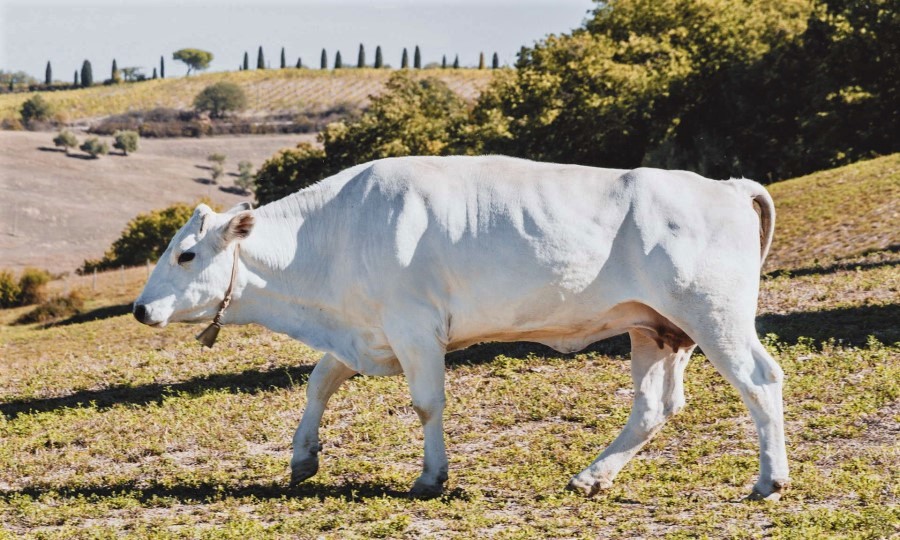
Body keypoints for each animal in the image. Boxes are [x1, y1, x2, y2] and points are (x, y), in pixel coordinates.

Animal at [134, 154, 788, 500]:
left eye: (186, 255)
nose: (140, 310)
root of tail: (726, 184)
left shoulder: (413, 327)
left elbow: (426, 403)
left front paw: (431, 476)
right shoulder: (365, 331)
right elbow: (319, 383)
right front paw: (302, 458)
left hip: (714, 315)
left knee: (760, 381)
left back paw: (770, 479)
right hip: (656, 329)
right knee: (655, 407)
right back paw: (591, 476)